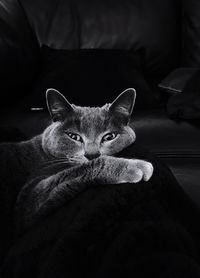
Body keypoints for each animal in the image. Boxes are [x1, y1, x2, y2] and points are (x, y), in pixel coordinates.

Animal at [0, 87, 154, 232]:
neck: (43, 154)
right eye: (74, 137)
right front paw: (135, 166)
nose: (92, 155)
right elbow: (75, 171)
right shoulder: (28, 202)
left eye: (109, 137)